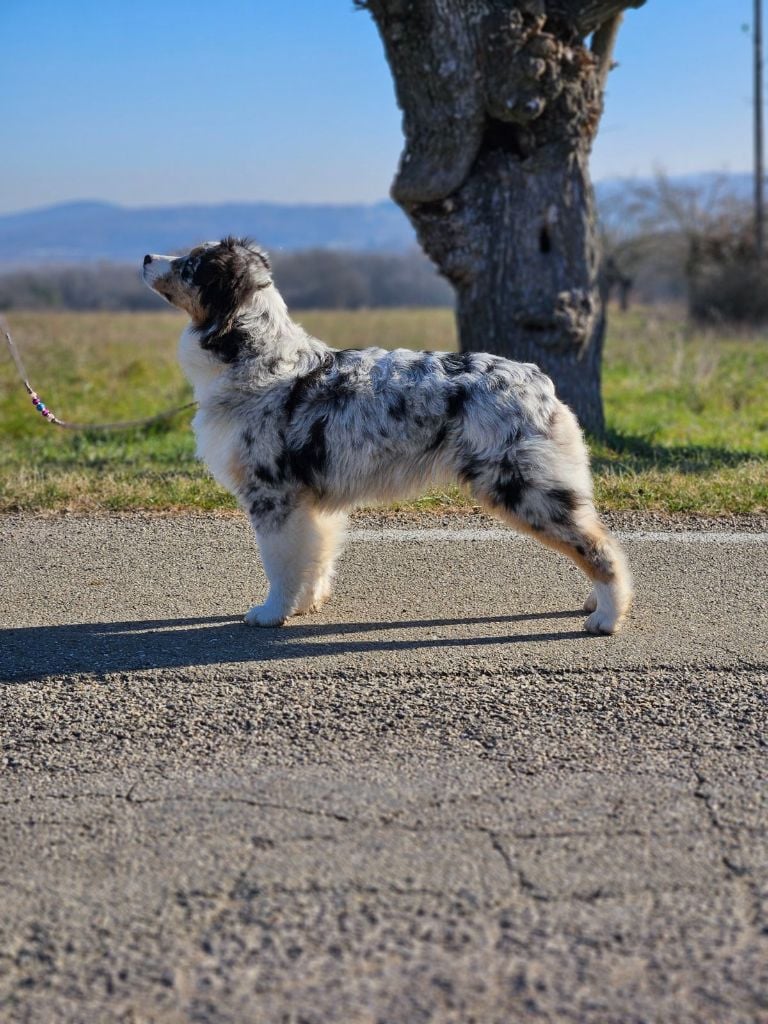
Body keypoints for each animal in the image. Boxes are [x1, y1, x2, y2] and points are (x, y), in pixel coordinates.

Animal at [143, 237, 630, 630]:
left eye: (190, 264)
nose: (147, 257)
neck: (257, 357)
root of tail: (539, 380)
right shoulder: (308, 501)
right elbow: (313, 557)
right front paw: (304, 605)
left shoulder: (272, 493)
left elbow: (279, 563)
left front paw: (271, 613)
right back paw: (595, 604)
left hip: (524, 488)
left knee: (601, 548)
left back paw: (607, 617)